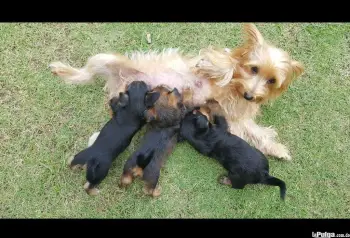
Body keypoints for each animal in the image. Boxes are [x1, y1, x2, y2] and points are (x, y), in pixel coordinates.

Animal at [49, 23, 304, 161]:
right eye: (254, 68)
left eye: (271, 80)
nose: (250, 96)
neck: (234, 89)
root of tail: (121, 82)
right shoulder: (216, 62)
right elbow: (225, 64)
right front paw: (220, 67)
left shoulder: (235, 118)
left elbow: (257, 132)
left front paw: (277, 149)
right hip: (104, 59)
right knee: (84, 73)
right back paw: (62, 70)